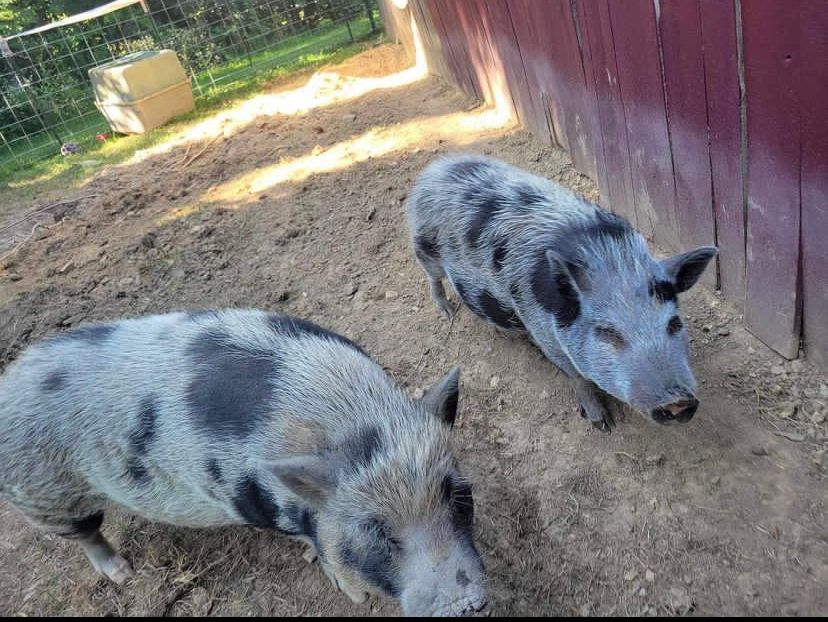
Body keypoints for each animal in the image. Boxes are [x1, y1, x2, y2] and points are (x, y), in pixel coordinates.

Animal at [0, 312, 486, 620]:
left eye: (458, 495)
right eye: (376, 531)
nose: (467, 604)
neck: (353, 423)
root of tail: (8, 383)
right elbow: (325, 553)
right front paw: (356, 597)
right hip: (44, 493)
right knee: (85, 533)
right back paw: (122, 574)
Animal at [408, 154, 720, 432]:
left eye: (674, 323)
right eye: (608, 333)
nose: (678, 402)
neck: (611, 258)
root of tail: (435, 169)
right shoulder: (543, 332)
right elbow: (577, 378)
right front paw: (603, 425)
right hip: (424, 247)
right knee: (433, 278)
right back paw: (448, 312)